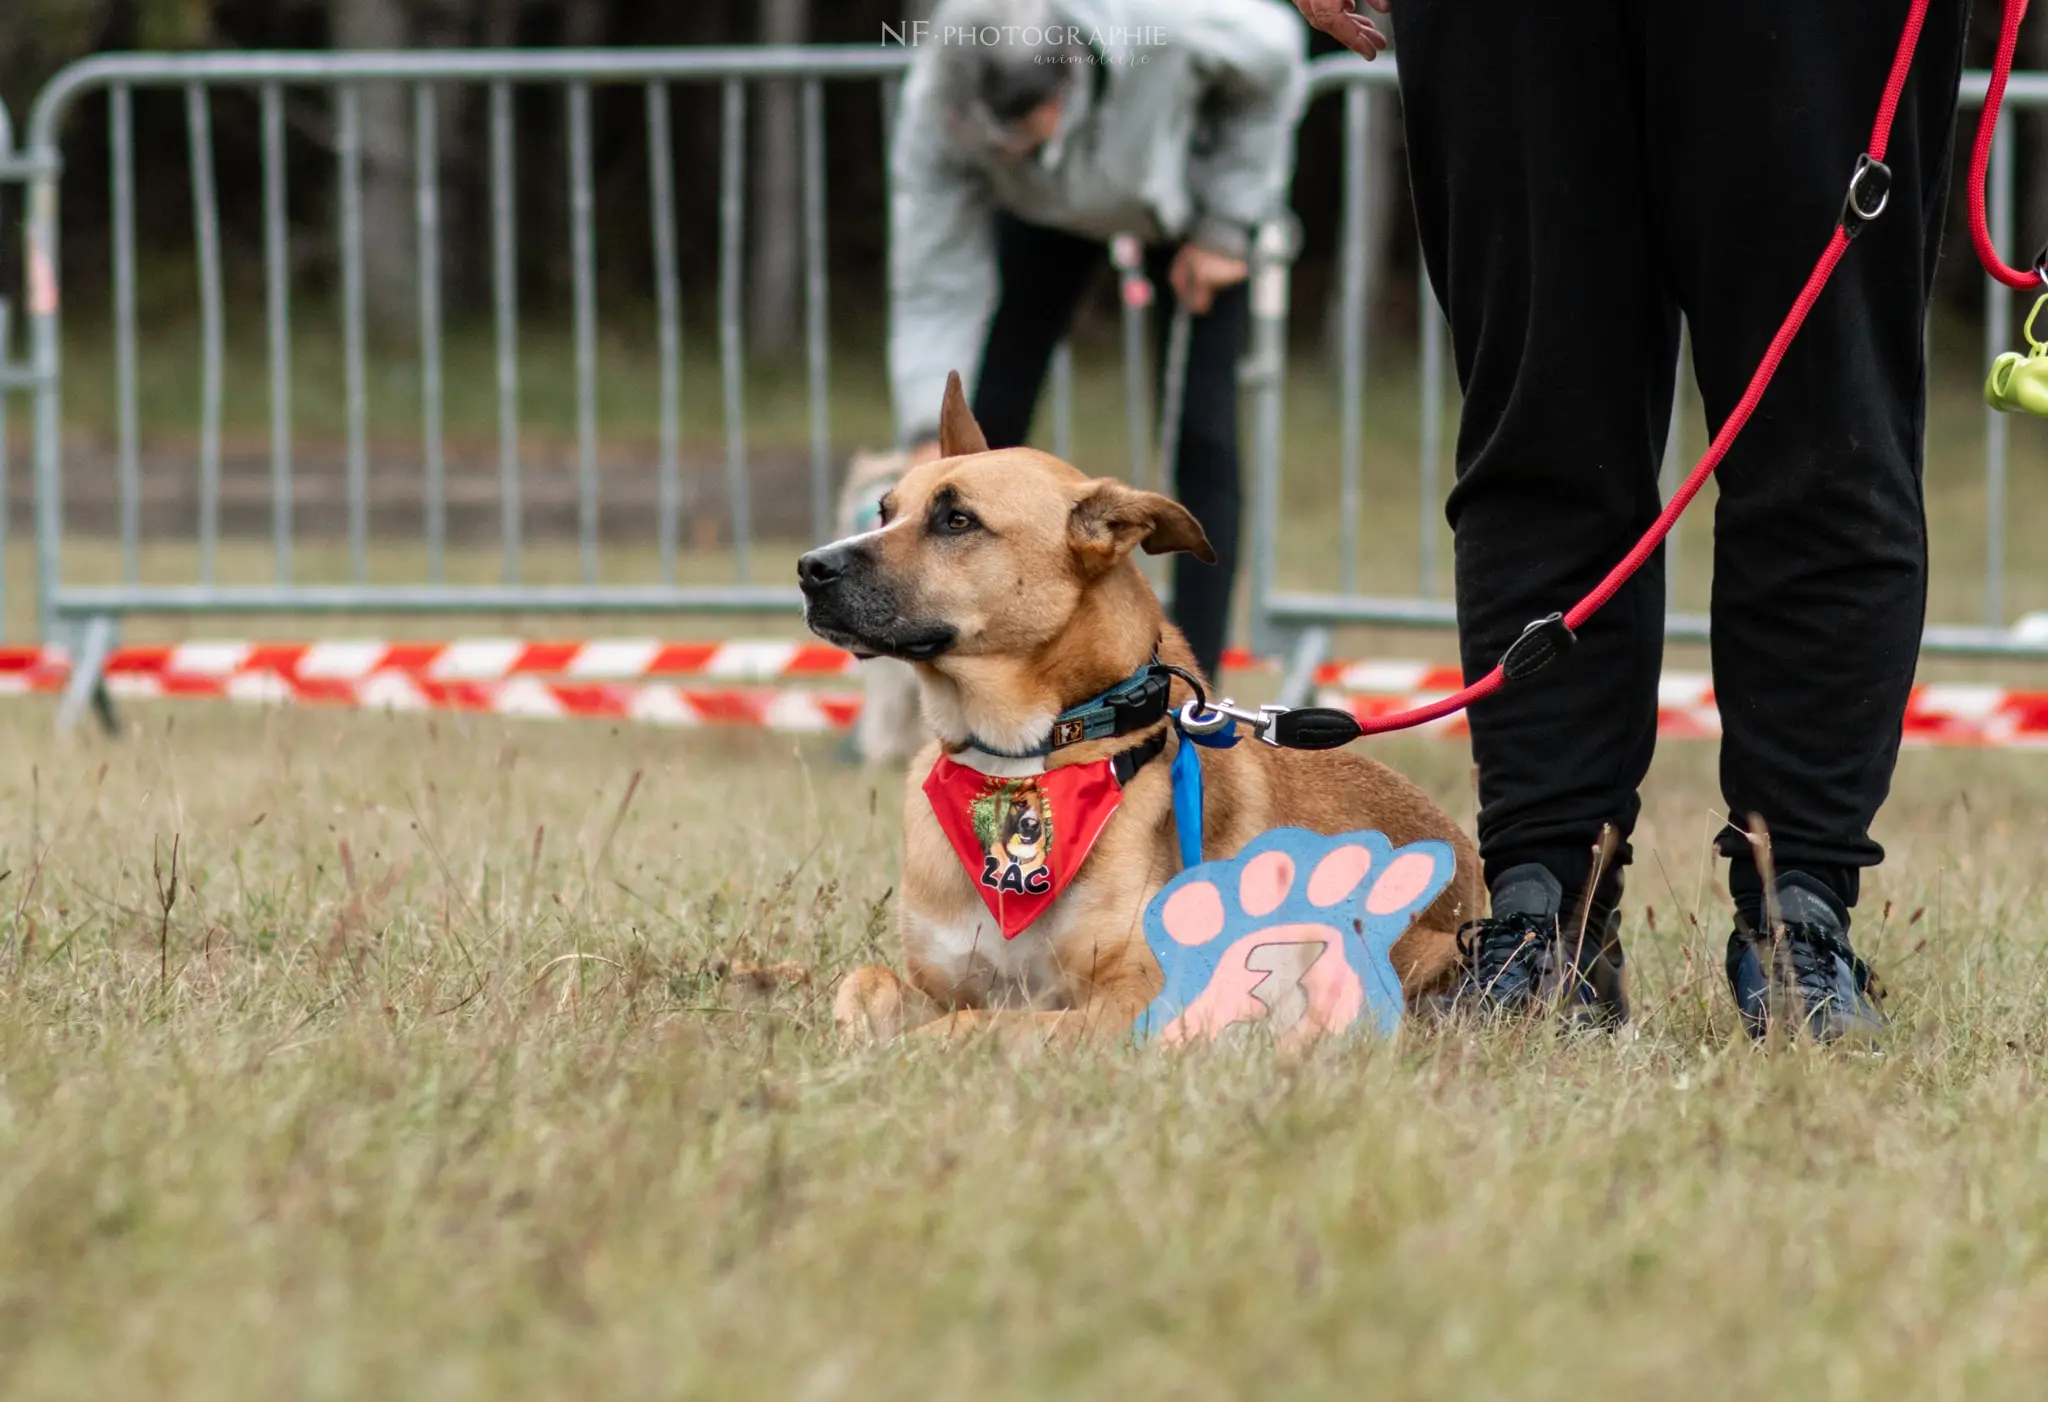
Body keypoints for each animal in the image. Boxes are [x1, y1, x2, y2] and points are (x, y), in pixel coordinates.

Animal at [790, 372, 1482, 1039]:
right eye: (885, 510)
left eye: (957, 520)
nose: (809, 567)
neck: (1024, 755)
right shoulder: (941, 982)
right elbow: (869, 984)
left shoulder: (1141, 1002)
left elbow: (976, 1026)